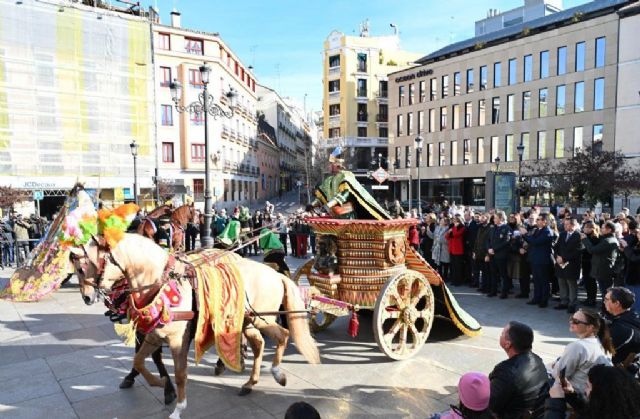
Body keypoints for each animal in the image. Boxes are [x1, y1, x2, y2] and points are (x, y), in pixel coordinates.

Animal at [69, 235, 320, 419]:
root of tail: (277, 275)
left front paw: (178, 406)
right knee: (259, 344)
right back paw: (250, 383)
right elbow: (139, 361)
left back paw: (277, 373)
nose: (87, 297)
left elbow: (180, 374)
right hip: (246, 321)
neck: (161, 283)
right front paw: (160, 383)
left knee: (283, 334)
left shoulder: (177, 341)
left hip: (262, 318)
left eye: (85, 267)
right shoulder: (153, 336)